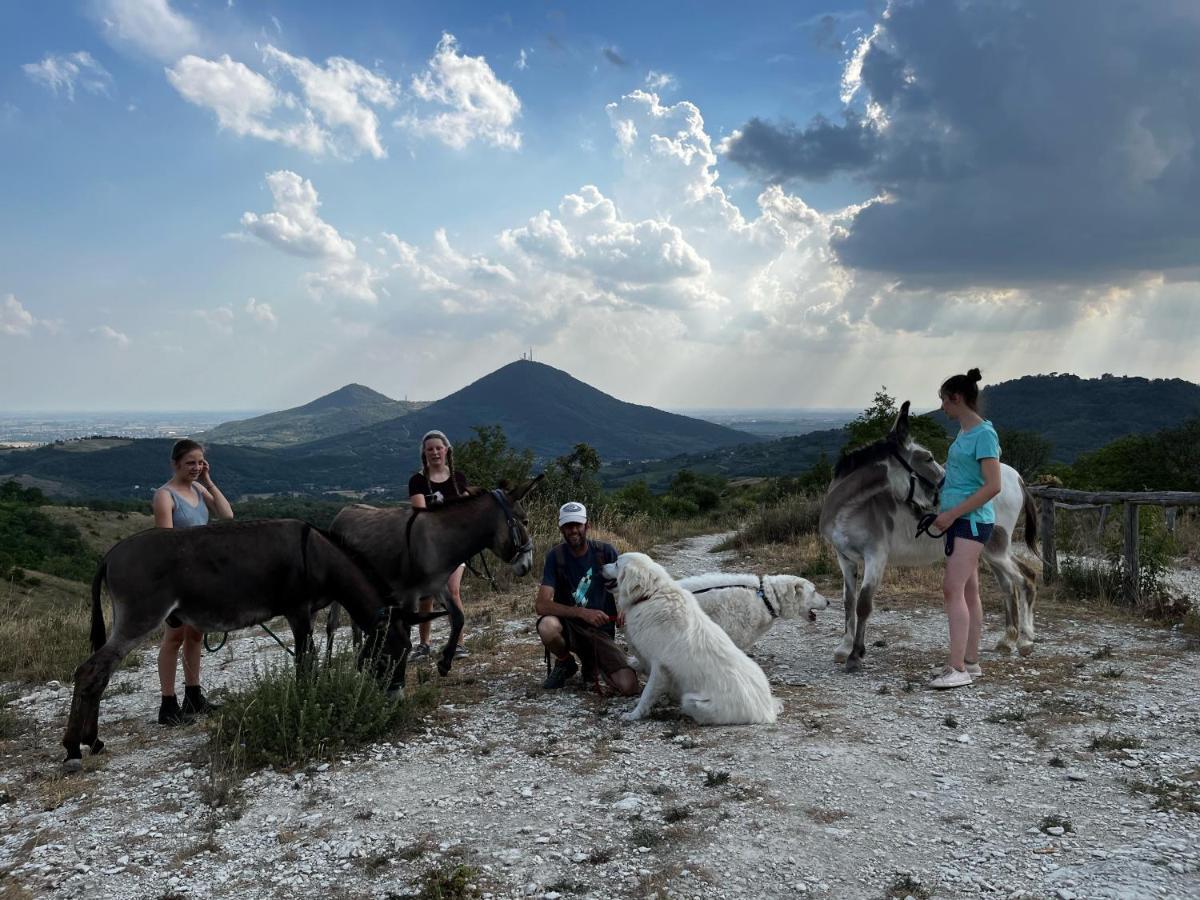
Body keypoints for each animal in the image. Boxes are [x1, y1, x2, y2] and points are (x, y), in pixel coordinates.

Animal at [604, 554, 782, 729]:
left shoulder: (659, 666)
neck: (650, 595)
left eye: (616, 563)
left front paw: (634, 714)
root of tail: (766, 711)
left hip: (692, 701)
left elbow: (647, 693)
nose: (601, 567)